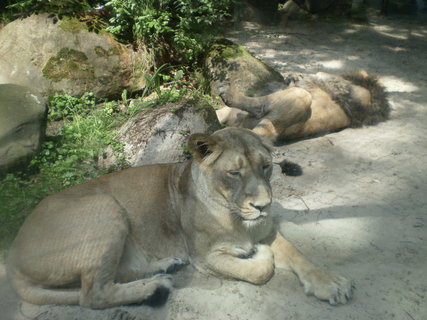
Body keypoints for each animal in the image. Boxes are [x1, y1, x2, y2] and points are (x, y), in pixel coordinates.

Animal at [6, 127, 354, 308]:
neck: (235, 215)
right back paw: (156, 285)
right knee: (90, 294)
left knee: (111, 276)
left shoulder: (266, 230)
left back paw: (164, 267)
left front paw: (330, 283)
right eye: (234, 173)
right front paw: (259, 256)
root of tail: (14, 253)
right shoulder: (204, 255)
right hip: (104, 207)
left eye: (266, 166)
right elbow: (259, 270)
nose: (264, 206)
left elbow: (297, 253)